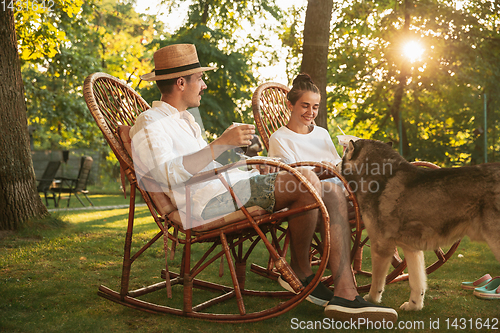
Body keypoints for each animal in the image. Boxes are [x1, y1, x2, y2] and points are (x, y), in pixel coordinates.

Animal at [340, 139, 500, 310]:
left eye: (342, 157)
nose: (334, 165)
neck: (379, 175)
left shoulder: (381, 245)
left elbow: (377, 281)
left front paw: (371, 300)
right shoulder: (412, 249)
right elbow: (417, 283)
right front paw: (414, 306)